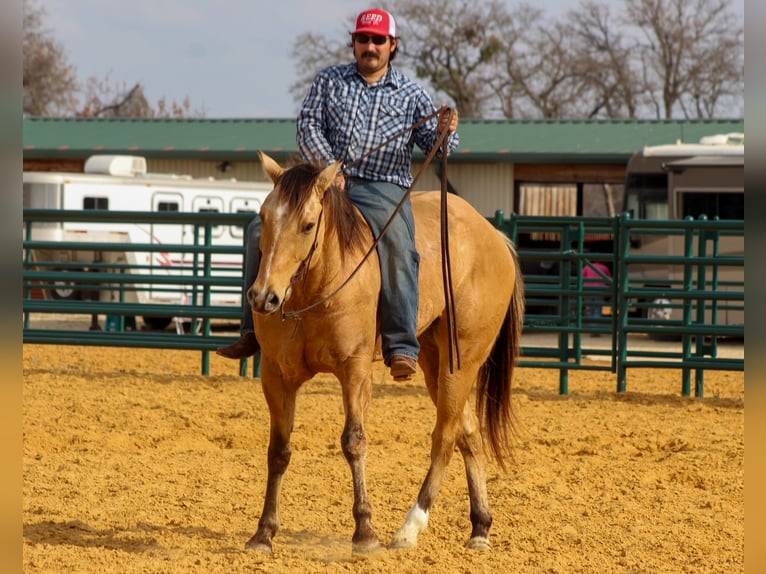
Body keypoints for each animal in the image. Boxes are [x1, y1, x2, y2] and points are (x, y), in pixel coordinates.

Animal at [245, 152, 524, 555]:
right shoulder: (276, 374)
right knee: (468, 433)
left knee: (445, 437)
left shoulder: (355, 370)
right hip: (435, 360)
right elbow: (279, 450)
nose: (264, 296)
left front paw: (365, 532)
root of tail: (494, 236)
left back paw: (410, 528)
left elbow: (354, 442)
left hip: (462, 361)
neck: (315, 290)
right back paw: (480, 528)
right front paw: (264, 533)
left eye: (308, 225)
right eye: (265, 216)